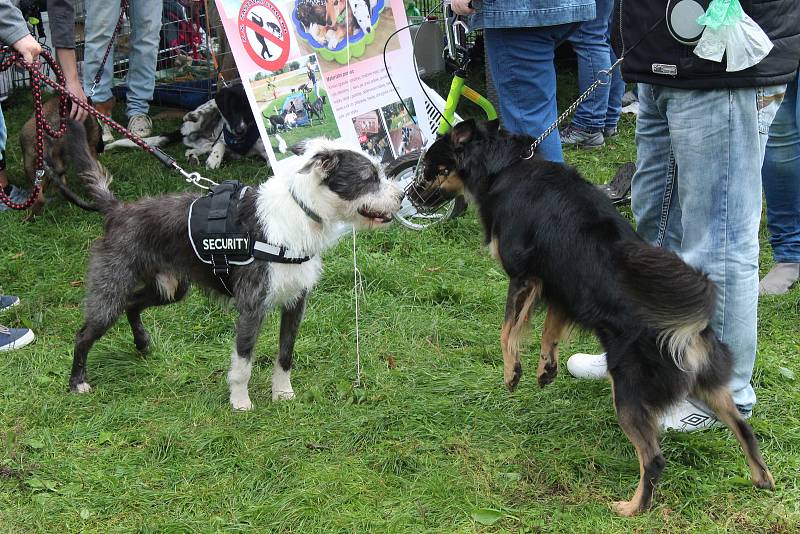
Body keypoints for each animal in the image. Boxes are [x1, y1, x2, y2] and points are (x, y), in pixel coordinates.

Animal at [69, 138, 404, 410]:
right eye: (369, 177)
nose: (402, 196)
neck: (299, 212)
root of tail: (117, 210)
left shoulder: (296, 302)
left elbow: (286, 354)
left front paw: (282, 393)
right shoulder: (251, 306)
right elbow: (243, 362)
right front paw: (240, 401)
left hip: (169, 289)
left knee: (132, 305)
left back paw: (141, 343)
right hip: (112, 289)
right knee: (84, 334)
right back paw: (78, 383)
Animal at [416, 120, 772, 520]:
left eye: (429, 168)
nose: (410, 197)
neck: (506, 166)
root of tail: (688, 332)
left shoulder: (524, 277)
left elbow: (507, 330)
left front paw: (512, 373)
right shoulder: (560, 286)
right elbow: (549, 331)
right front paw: (546, 369)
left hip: (628, 395)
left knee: (654, 459)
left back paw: (632, 507)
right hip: (710, 386)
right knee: (744, 428)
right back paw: (762, 479)